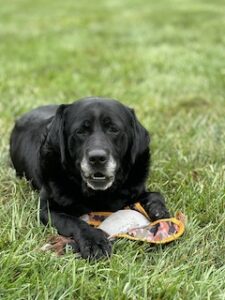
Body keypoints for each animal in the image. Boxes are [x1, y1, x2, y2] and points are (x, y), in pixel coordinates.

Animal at [10, 97, 169, 258]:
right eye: (80, 131)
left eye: (113, 129)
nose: (97, 158)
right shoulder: (46, 209)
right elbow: (73, 221)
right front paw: (93, 240)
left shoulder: (135, 189)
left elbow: (156, 195)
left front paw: (158, 209)